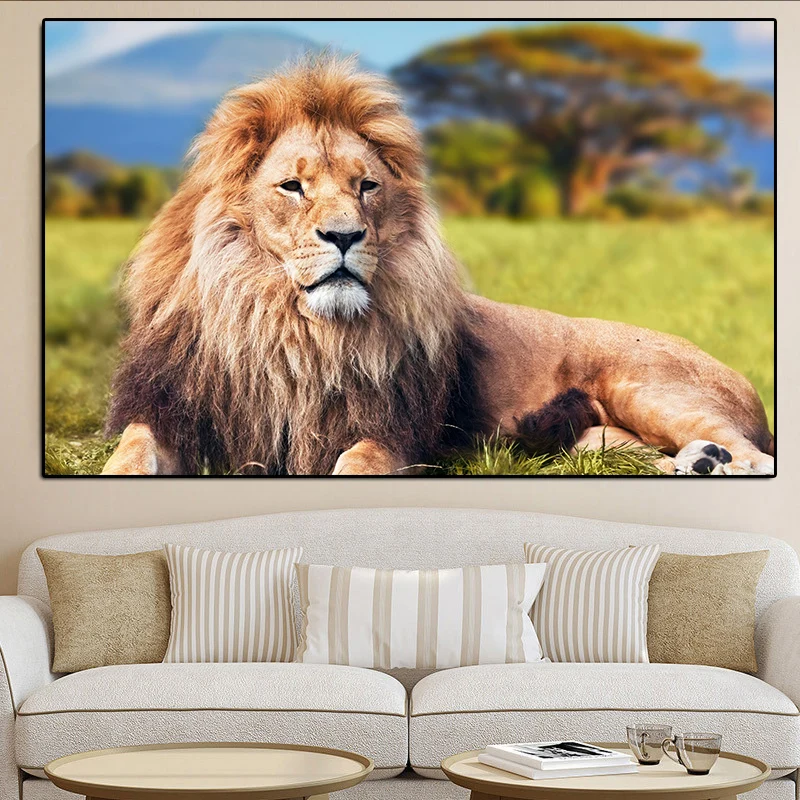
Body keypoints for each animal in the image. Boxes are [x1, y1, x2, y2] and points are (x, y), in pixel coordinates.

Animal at [102, 58, 774, 477]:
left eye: (367, 186)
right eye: (292, 186)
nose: (344, 236)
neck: (289, 330)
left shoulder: (396, 433)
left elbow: (355, 463)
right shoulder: (169, 413)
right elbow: (129, 457)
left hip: (647, 388)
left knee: (757, 455)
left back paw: (714, 461)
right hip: (593, 443)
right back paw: (697, 462)